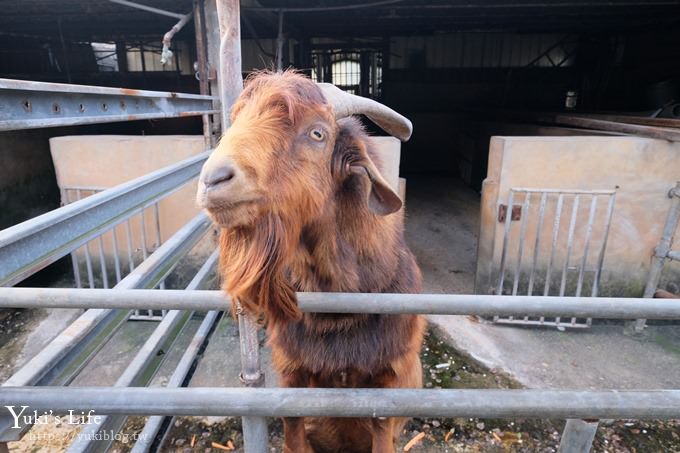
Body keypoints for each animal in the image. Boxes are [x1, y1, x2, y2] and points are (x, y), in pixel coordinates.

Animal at [194, 69, 422, 450]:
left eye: (317, 133)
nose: (213, 180)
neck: (337, 313)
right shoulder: (291, 373)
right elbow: (293, 423)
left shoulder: (388, 380)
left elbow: (382, 425)